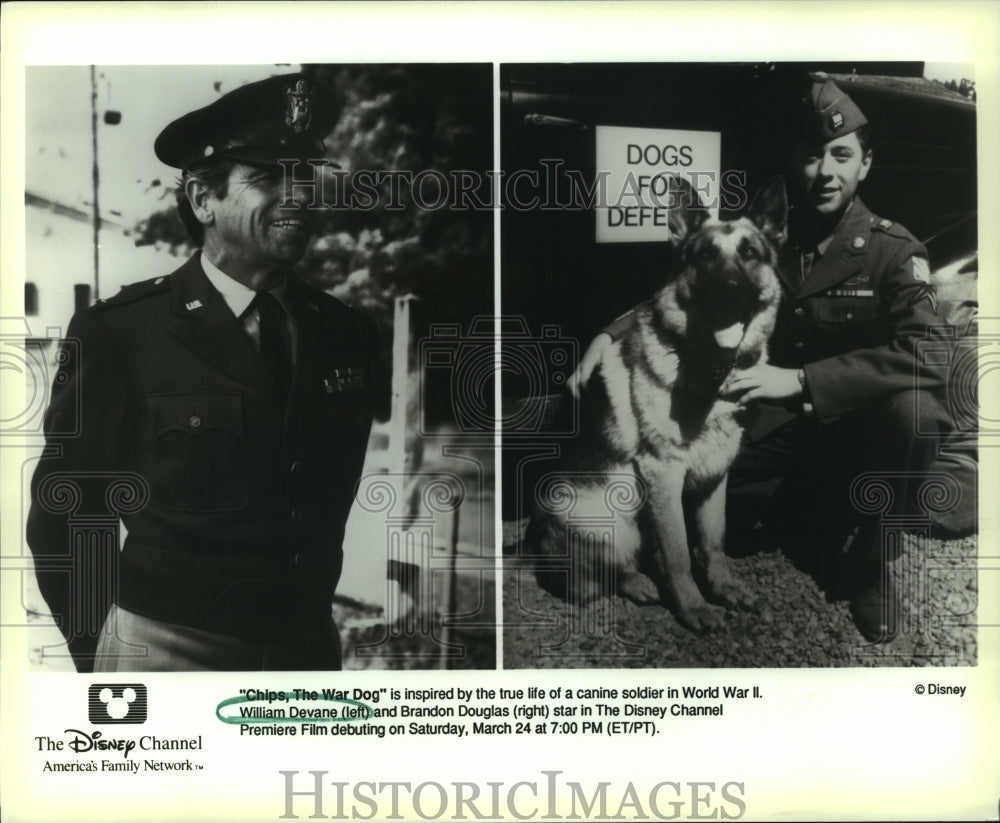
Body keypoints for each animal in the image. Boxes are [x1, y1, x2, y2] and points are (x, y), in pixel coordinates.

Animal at [532, 179, 788, 632]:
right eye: (704, 256)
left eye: (750, 254)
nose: (729, 288)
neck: (711, 372)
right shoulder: (664, 472)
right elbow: (679, 551)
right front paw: (694, 607)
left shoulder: (715, 472)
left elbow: (713, 540)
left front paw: (723, 587)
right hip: (611, 524)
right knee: (596, 580)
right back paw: (639, 585)